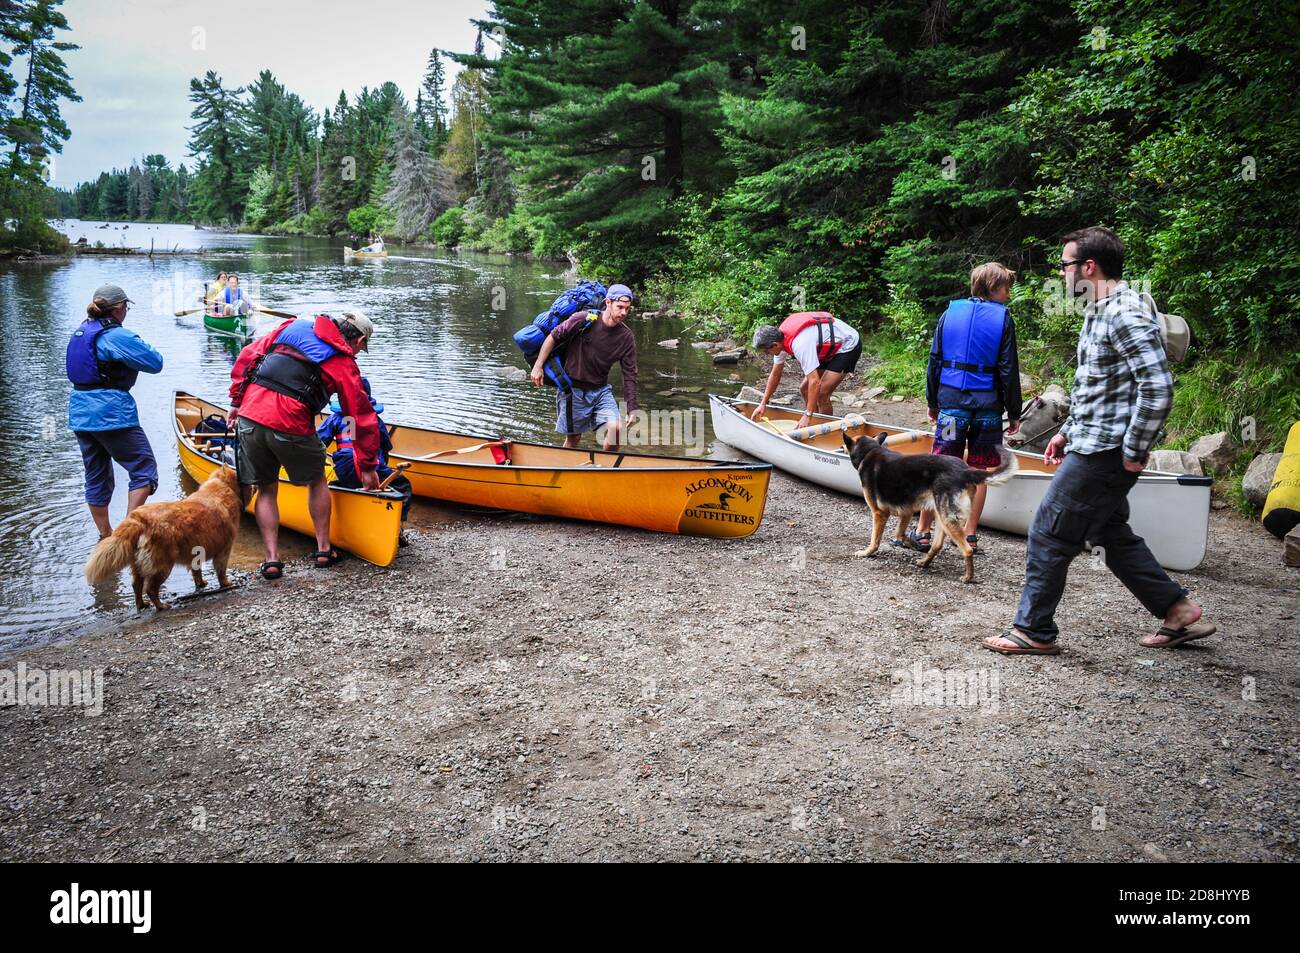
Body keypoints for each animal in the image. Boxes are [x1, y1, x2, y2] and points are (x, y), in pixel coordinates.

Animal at [83, 465, 244, 608]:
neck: (221, 488)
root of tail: (138, 519)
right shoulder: (224, 549)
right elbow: (221, 571)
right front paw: (226, 584)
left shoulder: (197, 550)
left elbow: (196, 571)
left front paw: (201, 583)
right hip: (163, 565)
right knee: (150, 589)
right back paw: (161, 606)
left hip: (138, 564)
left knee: (137, 585)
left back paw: (142, 605)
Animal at [847, 431, 1019, 579]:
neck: (870, 451)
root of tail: (965, 470)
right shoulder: (907, 511)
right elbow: (899, 533)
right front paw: (914, 544)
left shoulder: (879, 513)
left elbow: (875, 539)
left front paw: (867, 552)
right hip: (941, 517)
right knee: (937, 545)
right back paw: (924, 562)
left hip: (947, 520)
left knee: (968, 550)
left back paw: (968, 578)